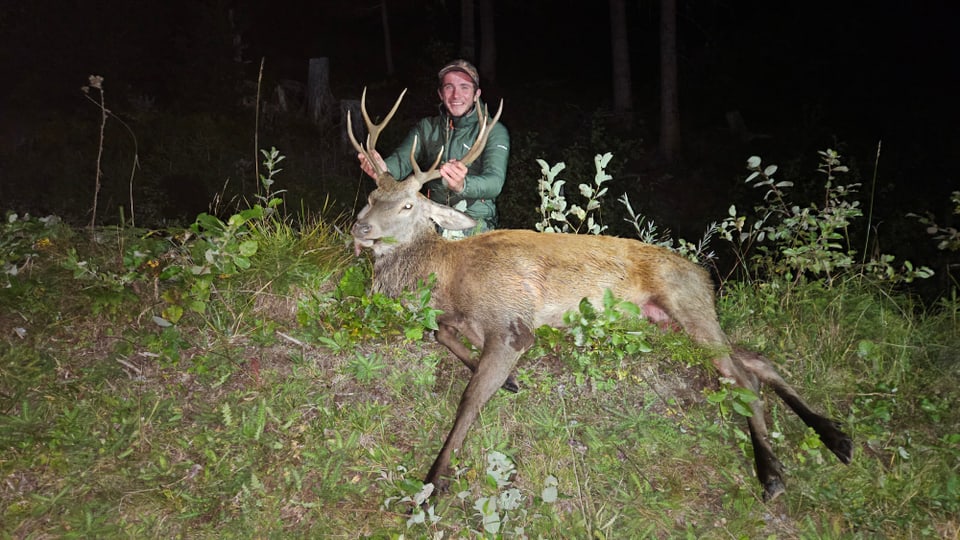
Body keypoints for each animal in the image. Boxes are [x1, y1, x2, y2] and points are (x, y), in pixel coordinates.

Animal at [348, 89, 852, 502]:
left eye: (408, 205)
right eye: (371, 195)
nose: (361, 228)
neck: (445, 276)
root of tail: (705, 275)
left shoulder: (512, 321)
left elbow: (468, 400)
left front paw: (431, 484)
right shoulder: (461, 319)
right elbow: (443, 336)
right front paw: (507, 381)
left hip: (686, 304)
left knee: (742, 377)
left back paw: (772, 473)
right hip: (668, 324)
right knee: (755, 360)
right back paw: (835, 436)